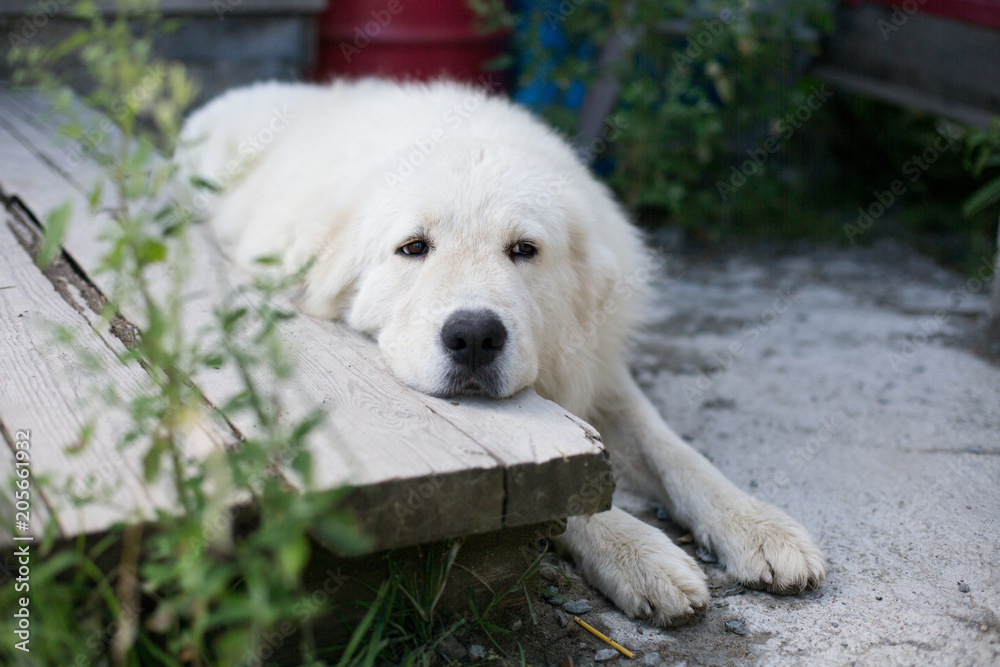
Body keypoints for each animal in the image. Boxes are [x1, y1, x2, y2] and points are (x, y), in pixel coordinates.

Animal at [176, 78, 824, 628]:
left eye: (523, 249)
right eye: (414, 247)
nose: (473, 337)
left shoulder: (598, 372)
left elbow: (677, 455)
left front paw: (759, 526)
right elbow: (575, 492)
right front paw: (643, 553)